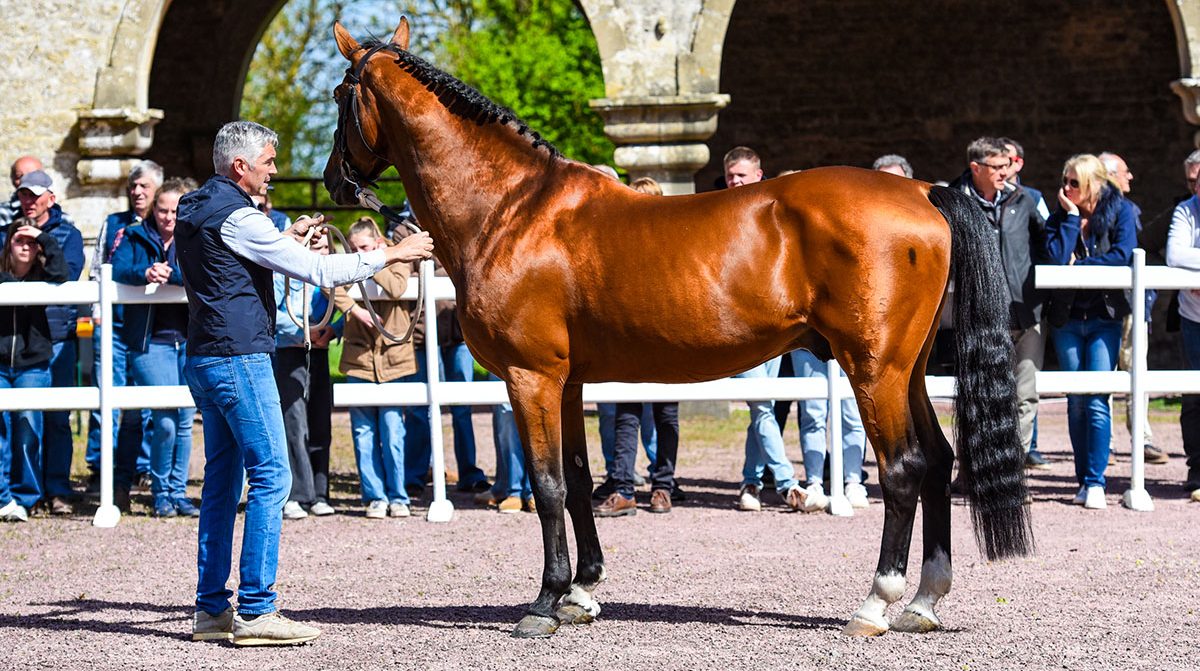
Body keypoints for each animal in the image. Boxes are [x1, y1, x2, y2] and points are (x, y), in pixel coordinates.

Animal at [323, 18, 1032, 638]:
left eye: (338, 93)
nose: (332, 181)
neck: (510, 211)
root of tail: (922, 191)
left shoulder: (530, 378)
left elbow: (548, 485)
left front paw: (545, 603)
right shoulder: (568, 382)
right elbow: (578, 478)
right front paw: (582, 592)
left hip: (873, 368)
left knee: (903, 468)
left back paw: (877, 603)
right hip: (908, 369)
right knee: (938, 461)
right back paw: (924, 603)